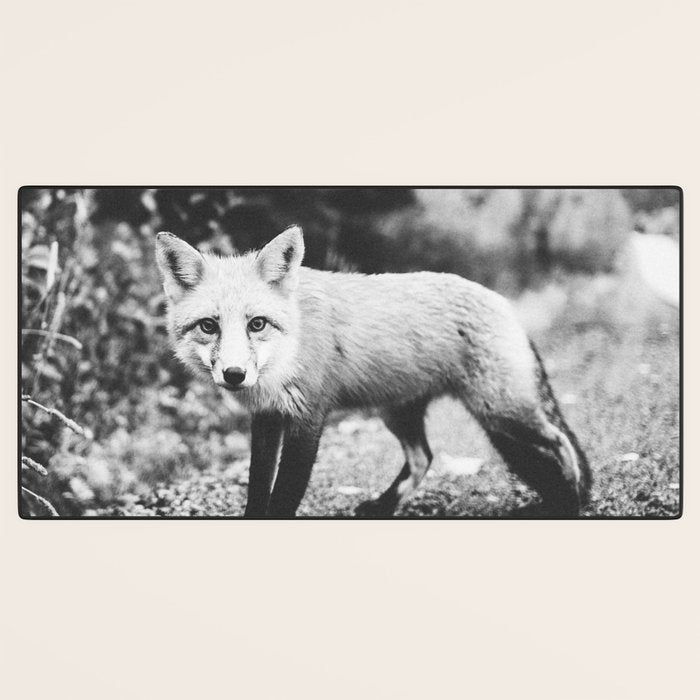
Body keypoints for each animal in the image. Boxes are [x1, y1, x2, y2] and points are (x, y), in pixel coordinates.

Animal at [156, 225, 591, 518]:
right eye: (208, 326)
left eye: (257, 324)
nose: (234, 374)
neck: (287, 354)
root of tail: (503, 302)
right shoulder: (266, 419)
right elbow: (257, 489)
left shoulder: (308, 418)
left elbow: (284, 495)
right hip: (399, 412)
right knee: (423, 457)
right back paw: (383, 506)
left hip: (501, 411)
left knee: (560, 441)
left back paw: (572, 500)